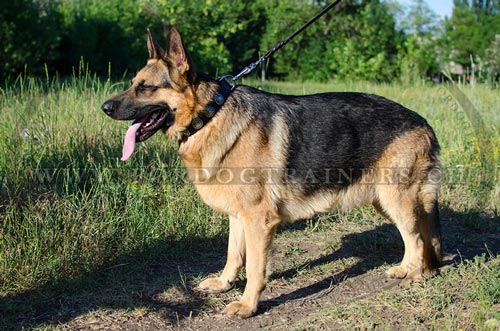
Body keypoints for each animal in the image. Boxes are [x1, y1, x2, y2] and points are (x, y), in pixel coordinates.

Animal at [101, 27, 442, 318]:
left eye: (145, 87)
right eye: (133, 83)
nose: (105, 107)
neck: (210, 115)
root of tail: (424, 122)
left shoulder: (258, 219)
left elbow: (254, 267)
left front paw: (248, 305)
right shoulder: (239, 216)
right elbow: (233, 254)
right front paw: (224, 284)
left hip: (396, 199)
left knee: (416, 239)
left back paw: (415, 277)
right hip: (386, 202)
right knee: (417, 237)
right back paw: (410, 269)